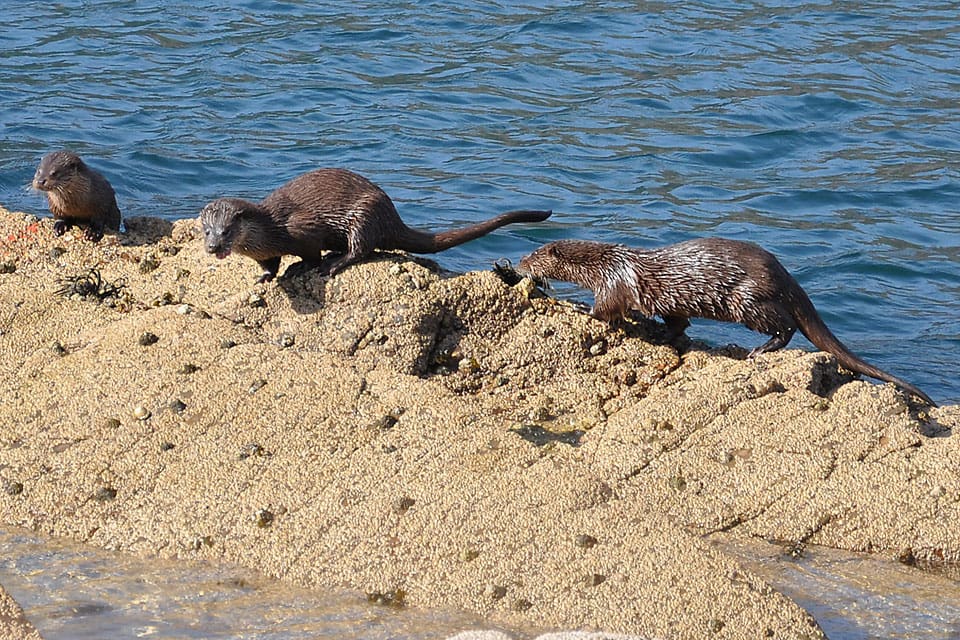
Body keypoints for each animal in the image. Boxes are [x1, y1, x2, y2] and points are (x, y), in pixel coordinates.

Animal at [200, 168, 552, 282]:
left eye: (227, 230)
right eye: (207, 230)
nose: (213, 247)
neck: (272, 230)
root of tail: (391, 216)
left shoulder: (303, 230)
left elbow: (310, 254)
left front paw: (300, 269)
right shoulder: (266, 252)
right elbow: (269, 265)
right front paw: (264, 277)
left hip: (364, 215)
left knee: (361, 248)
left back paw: (335, 262)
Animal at [519, 238, 936, 406]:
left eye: (532, 254)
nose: (520, 263)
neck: (603, 263)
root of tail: (783, 274)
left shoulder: (614, 282)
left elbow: (605, 310)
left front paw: (578, 309)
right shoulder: (665, 301)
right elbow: (677, 322)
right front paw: (663, 332)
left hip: (746, 299)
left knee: (785, 326)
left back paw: (759, 351)